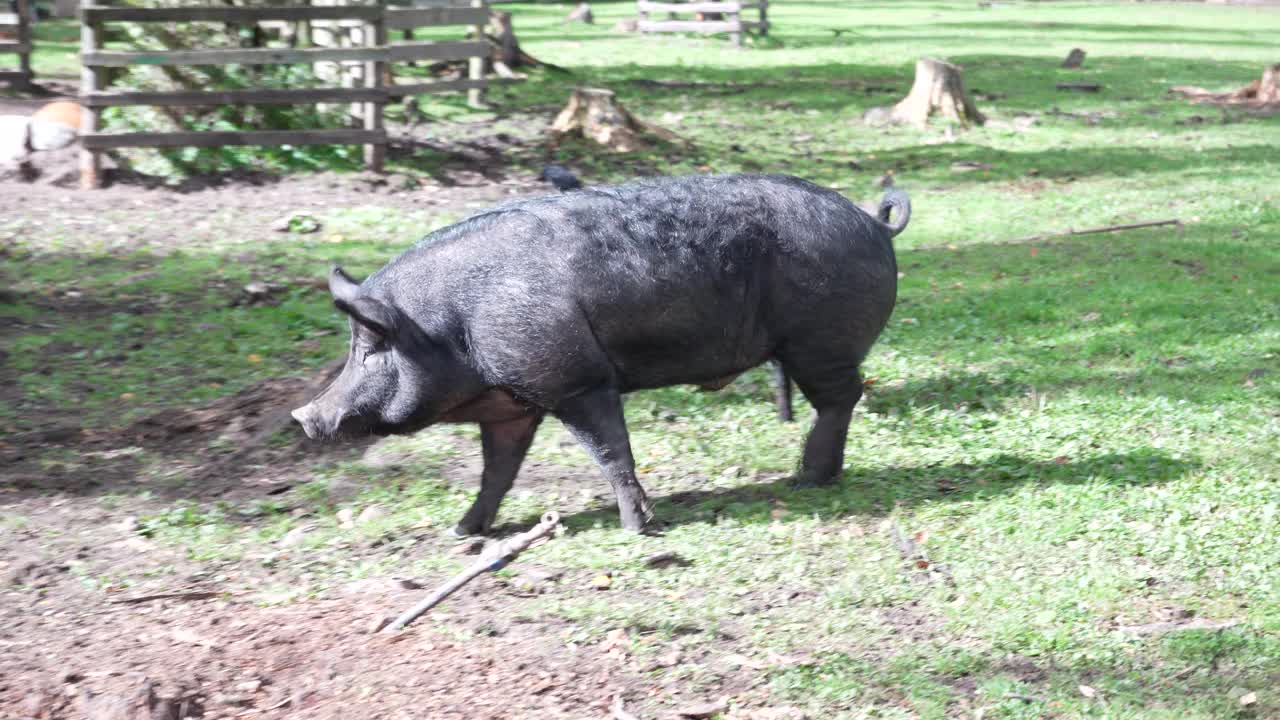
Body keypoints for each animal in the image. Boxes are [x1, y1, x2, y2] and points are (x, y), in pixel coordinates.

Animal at [290, 172, 911, 532]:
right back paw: (812, 478)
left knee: (842, 398)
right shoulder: (513, 404)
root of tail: (874, 223)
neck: (453, 328)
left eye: (371, 350)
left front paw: (638, 528)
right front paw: (464, 533)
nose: (304, 416)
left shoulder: (576, 380)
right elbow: (498, 471)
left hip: (819, 341)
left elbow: (611, 453)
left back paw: (806, 480)